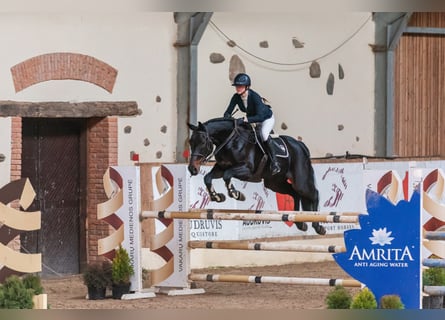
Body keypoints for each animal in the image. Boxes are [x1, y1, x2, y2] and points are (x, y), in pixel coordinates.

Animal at [186, 117, 324, 235]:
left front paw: (236, 194)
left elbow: (227, 175)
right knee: (294, 194)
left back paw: (318, 227)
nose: (192, 169)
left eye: (203, 142)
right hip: (274, 183)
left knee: (313, 193)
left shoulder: (246, 169)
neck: (230, 141)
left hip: (300, 181)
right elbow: (207, 178)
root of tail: (301, 146)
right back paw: (300, 223)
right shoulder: (220, 168)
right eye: (191, 142)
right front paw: (217, 197)